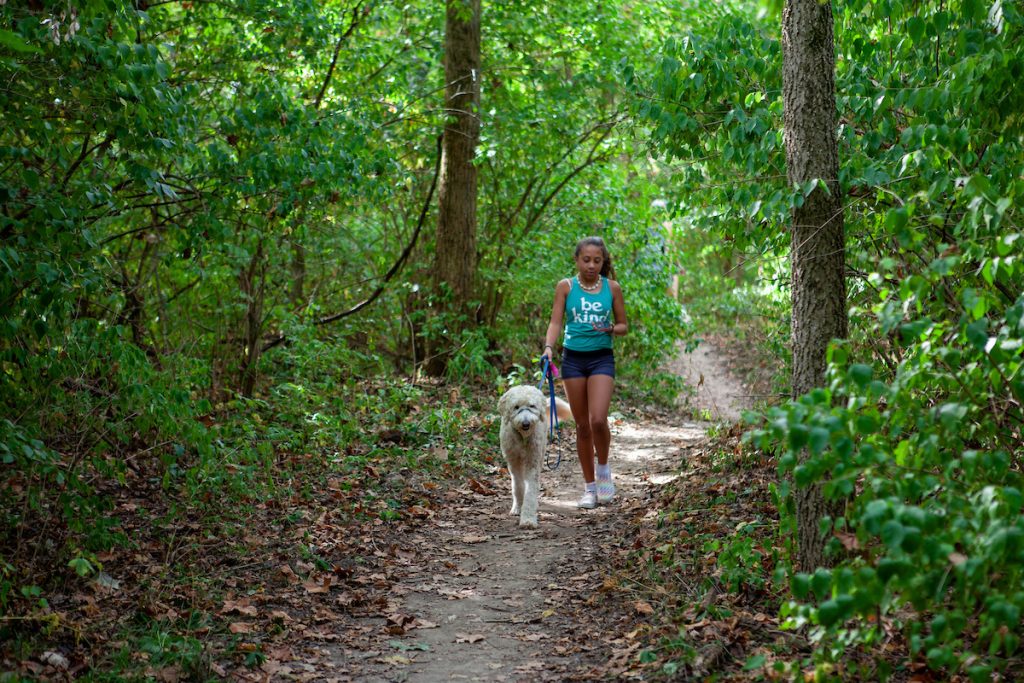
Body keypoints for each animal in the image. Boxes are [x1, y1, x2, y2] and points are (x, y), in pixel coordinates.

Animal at [497, 385, 573, 528]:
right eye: (516, 407)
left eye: (532, 406)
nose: (526, 423)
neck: (523, 438)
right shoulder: (513, 461)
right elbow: (517, 485)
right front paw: (518, 507)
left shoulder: (533, 461)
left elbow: (531, 490)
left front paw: (528, 519)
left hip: (541, 452)